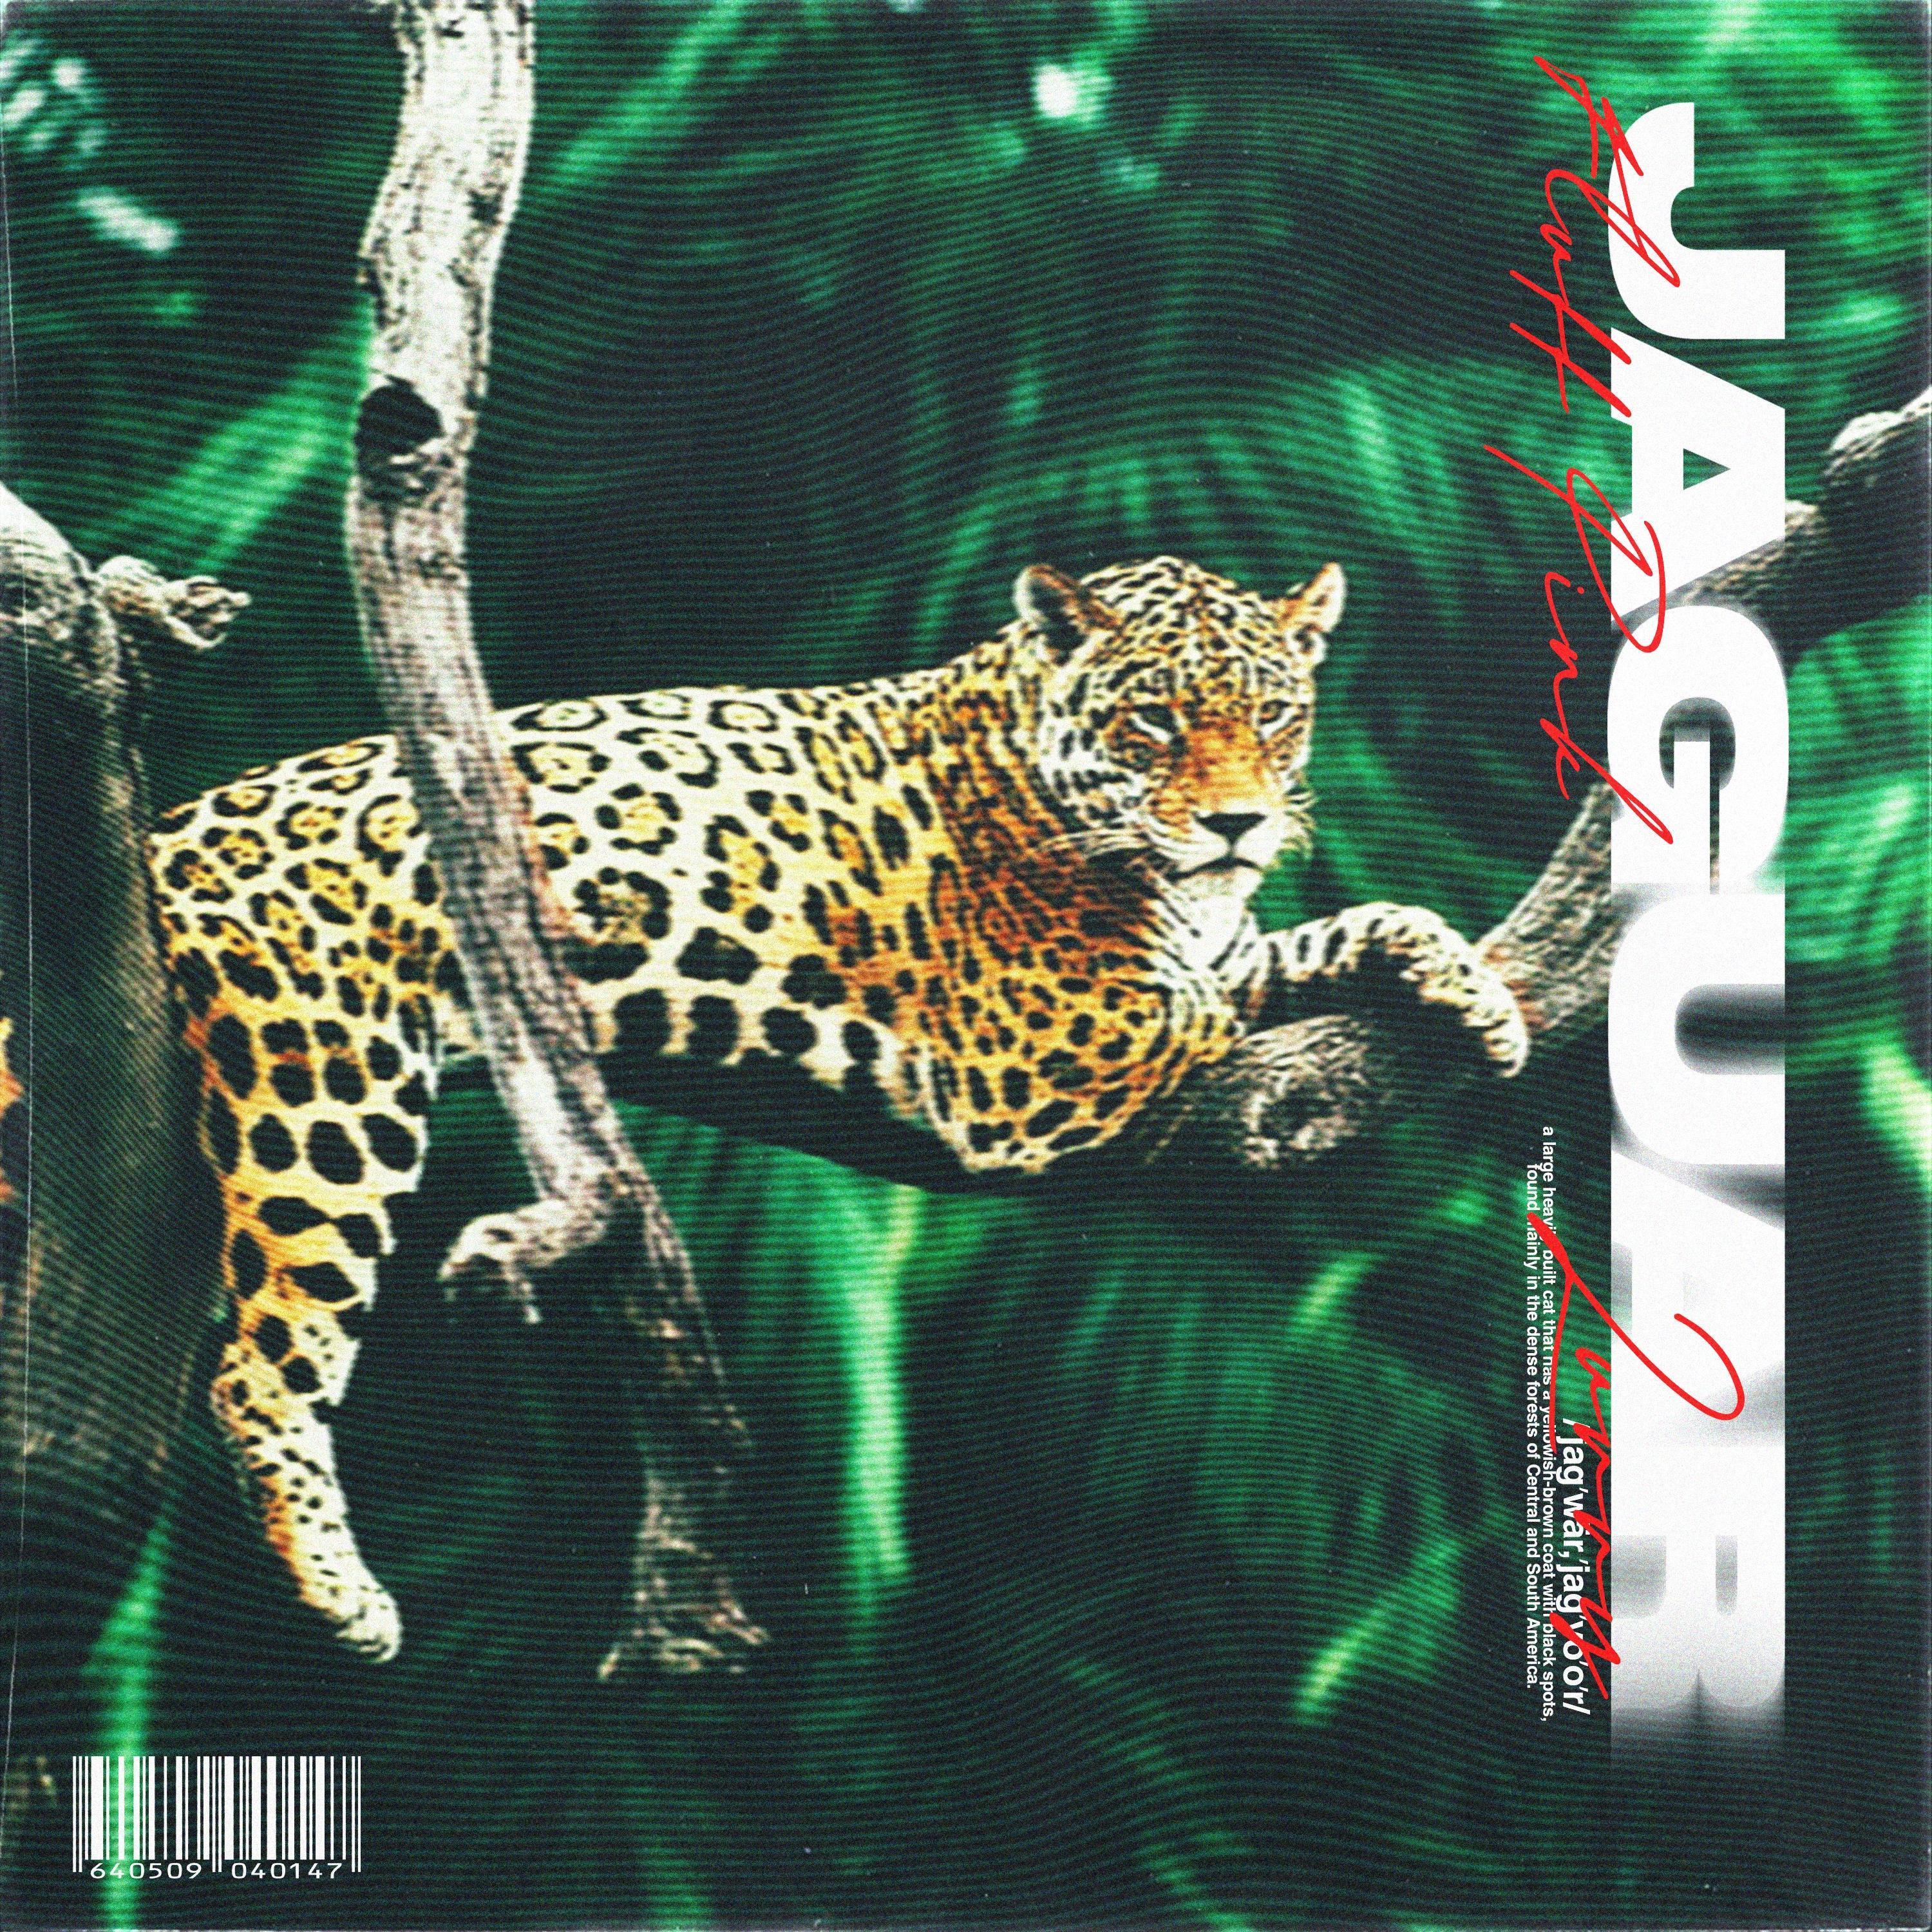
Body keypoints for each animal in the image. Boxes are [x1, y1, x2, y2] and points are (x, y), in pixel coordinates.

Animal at [147, 554, 1529, 1661]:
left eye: (1277, 714)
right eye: (1154, 719)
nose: (1241, 821)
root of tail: (161, 834)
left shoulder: (1200, 948)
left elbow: (1314, 938)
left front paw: (1473, 988)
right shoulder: (1039, 1048)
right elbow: (1202, 1001)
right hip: (328, 1093)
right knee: (258, 1371)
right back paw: (343, 1596)